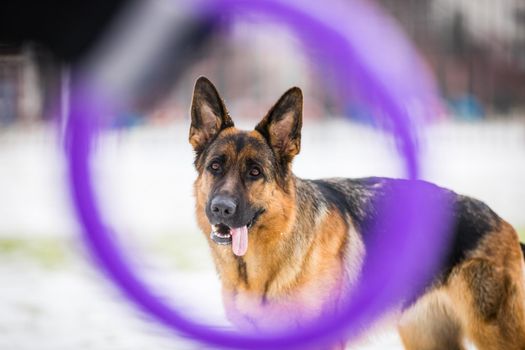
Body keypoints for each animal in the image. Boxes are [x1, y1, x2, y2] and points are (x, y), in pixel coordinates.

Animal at [188, 77, 524, 350]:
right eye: (215, 166)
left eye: (255, 172)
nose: (221, 208)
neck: (257, 269)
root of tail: (504, 223)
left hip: (495, 334)